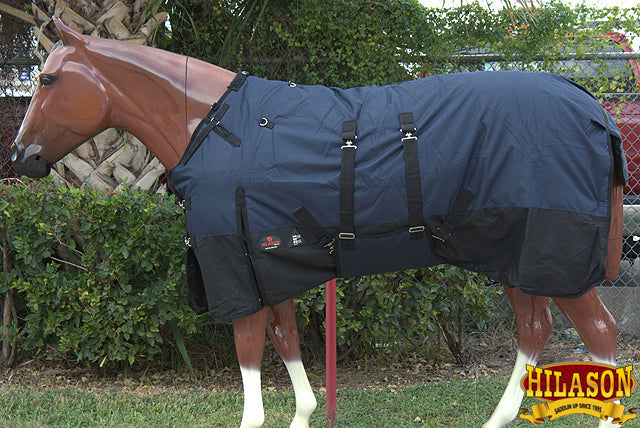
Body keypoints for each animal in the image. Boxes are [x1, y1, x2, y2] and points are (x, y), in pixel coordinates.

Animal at [11, 18, 626, 428]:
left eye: (48, 81)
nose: (22, 157)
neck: (213, 124)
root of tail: (592, 107)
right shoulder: (266, 260)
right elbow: (284, 340)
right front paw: (304, 413)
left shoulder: (235, 267)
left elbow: (249, 348)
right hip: (518, 256)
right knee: (534, 330)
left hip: (553, 253)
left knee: (599, 334)